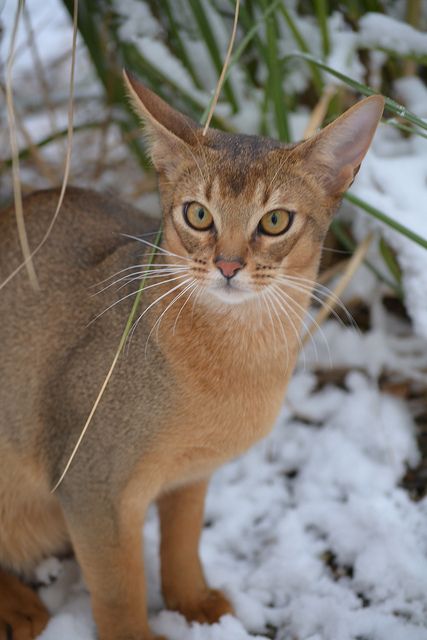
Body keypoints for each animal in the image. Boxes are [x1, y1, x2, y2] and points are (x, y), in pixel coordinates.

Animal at [0, 71, 382, 640]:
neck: (236, 360)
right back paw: (18, 606)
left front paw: (196, 605)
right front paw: (135, 637)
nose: (228, 265)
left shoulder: (191, 477)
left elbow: (182, 545)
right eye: (198, 214)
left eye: (275, 221)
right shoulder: (91, 484)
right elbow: (118, 587)